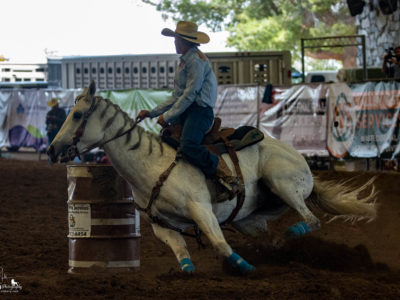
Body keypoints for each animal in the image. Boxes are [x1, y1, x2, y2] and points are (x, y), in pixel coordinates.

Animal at [47, 81, 378, 274]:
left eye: (77, 115)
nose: (52, 149)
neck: (151, 165)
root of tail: (299, 158)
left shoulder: (201, 209)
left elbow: (219, 243)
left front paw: (247, 268)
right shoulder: (161, 226)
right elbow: (183, 257)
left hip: (283, 183)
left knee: (312, 219)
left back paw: (293, 233)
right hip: (250, 219)